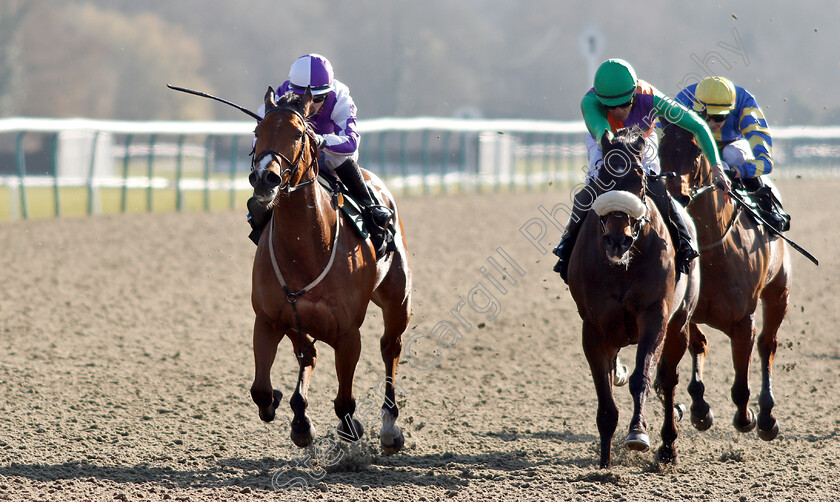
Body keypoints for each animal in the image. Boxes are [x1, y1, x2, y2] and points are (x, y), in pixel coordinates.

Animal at [249, 87, 414, 454]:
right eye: (257, 130)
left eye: (299, 133)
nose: (265, 177)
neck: (308, 249)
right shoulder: (268, 320)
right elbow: (261, 390)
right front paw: (291, 414)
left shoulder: (348, 333)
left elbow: (344, 400)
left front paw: (351, 429)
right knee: (308, 356)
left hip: (398, 301)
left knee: (390, 348)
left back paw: (389, 428)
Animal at [568, 128, 700, 466]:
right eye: (603, 176)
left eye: (640, 178)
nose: (618, 240)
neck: (621, 268)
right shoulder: (593, 327)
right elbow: (603, 388)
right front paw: (604, 463)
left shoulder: (655, 315)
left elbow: (642, 376)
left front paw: (638, 434)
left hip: (680, 323)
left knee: (668, 380)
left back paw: (668, 447)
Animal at [660, 123, 792, 442]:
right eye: (661, 147)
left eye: (696, 151)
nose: (675, 193)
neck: (712, 251)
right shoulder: (686, 312)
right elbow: (698, 345)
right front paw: (699, 409)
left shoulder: (744, 322)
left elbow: (741, 383)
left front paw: (746, 418)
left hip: (779, 292)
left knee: (768, 344)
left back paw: (767, 416)